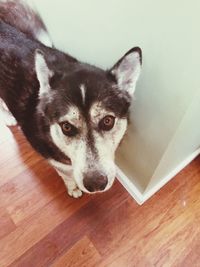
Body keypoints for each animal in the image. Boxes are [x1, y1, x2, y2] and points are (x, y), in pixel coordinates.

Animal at [0, 0, 142, 199]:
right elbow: (66, 173)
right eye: (66, 127)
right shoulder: (53, 158)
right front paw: (72, 187)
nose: (96, 183)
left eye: (108, 121)